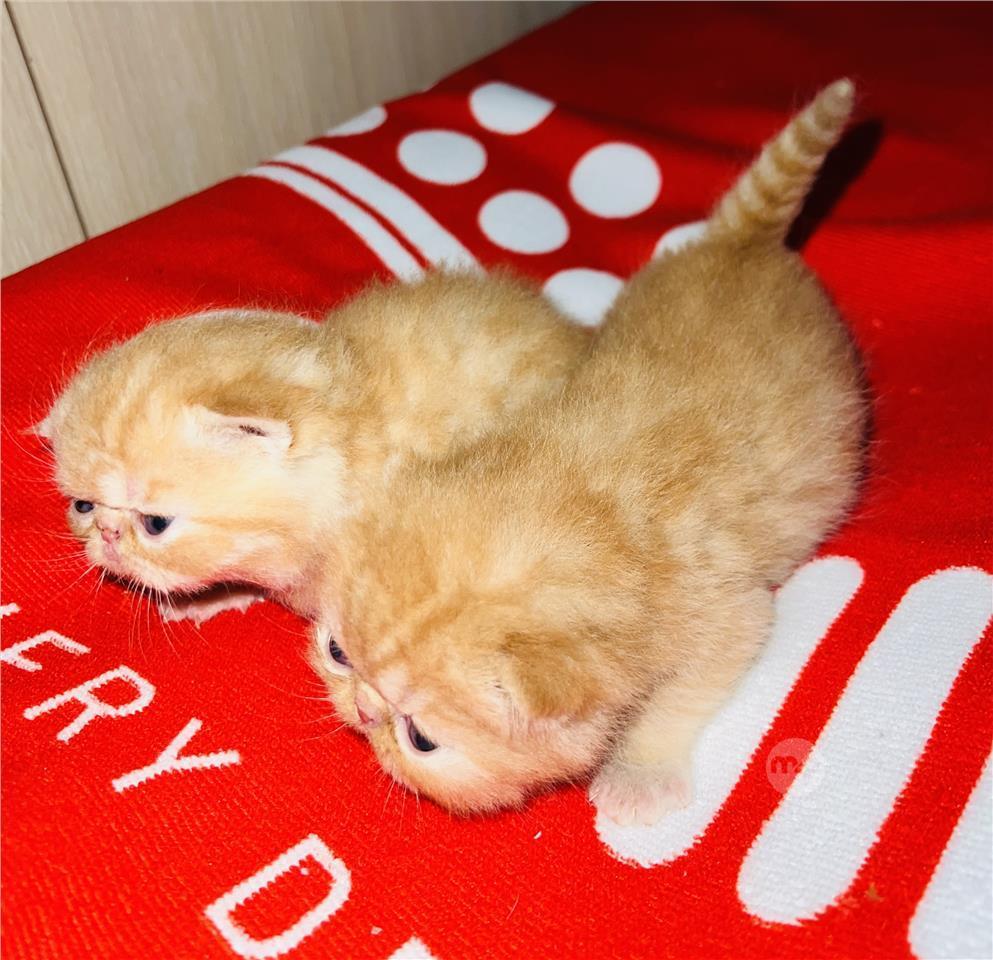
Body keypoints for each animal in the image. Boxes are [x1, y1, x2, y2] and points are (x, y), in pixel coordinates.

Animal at [308, 80, 867, 826]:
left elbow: (678, 697)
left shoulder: (729, 615)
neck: (582, 503)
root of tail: (741, 244)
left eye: (420, 738)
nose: (362, 711)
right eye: (337, 652)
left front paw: (637, 774)